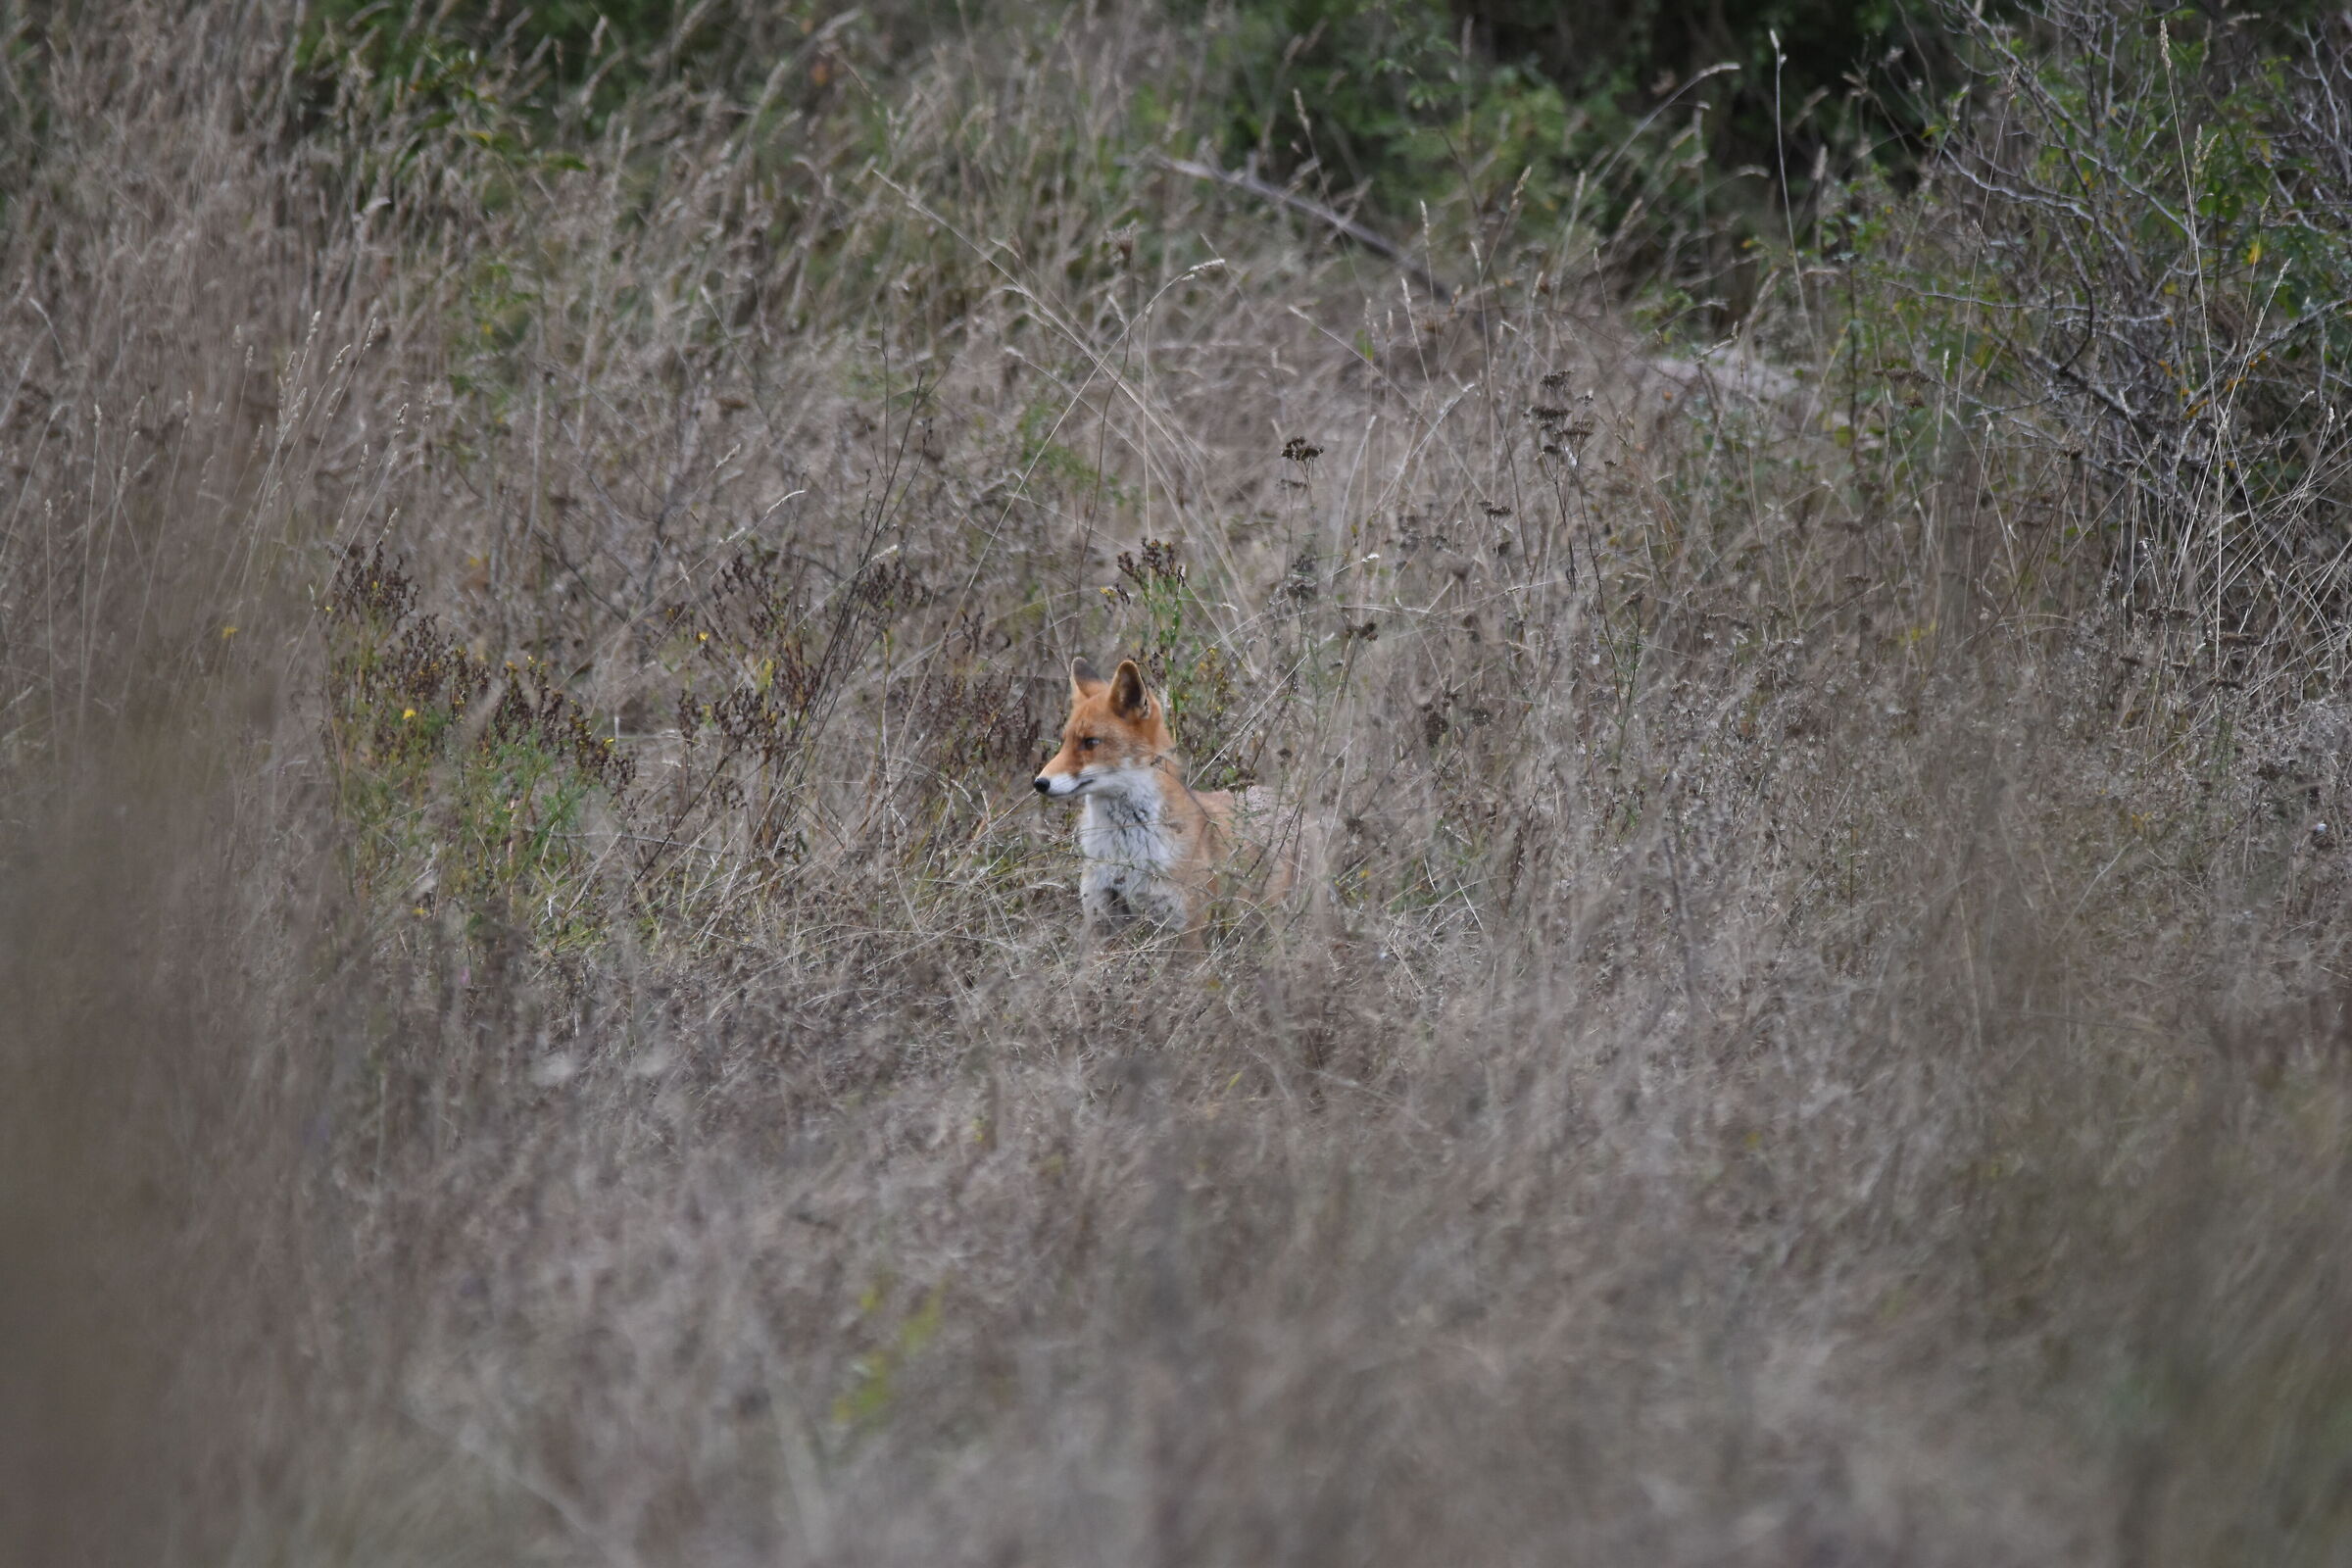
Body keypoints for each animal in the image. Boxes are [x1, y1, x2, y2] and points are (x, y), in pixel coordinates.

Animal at [1033, 656, 1276, 946]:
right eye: (1065, 742)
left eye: (1090, 742)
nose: (1039, 783)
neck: (1126, 849)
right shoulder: (1099, 917)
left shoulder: (1186, 930)